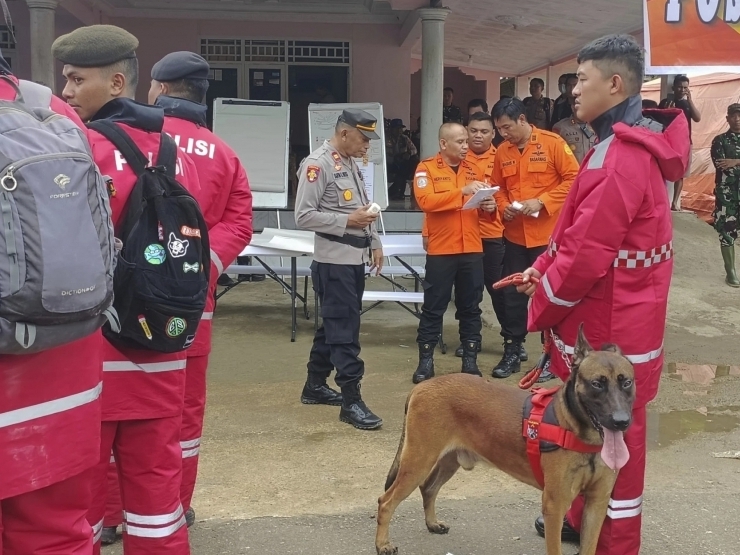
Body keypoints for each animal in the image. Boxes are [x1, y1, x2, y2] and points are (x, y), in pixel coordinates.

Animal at [376, 326, 636, 555]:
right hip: (417, 463)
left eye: (627, 382)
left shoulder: (596, 504)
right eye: (597, 383)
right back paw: (382, 544)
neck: (578, 431)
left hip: (449, 461)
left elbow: (589, 546)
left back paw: (432, 523)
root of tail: (422, 387)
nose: (621, 421)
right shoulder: (555, 506)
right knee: (386, 501)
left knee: (428, 488)